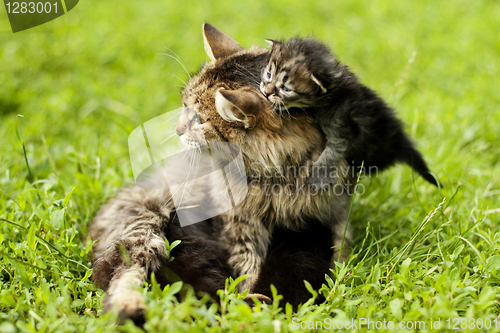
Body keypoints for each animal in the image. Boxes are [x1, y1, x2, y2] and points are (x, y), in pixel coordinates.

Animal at [87, 24, 352, 324]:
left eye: (199, 120)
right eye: (183, 105)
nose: (177, 130)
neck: (279, 177)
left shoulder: (335, 212)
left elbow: (340, 247)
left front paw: (338, 280)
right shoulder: (240, 223)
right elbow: (248, 264)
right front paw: (249, 296)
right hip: (145, 223)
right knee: (121, 272)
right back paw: (131, 306)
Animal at [260, 37, 440, 188]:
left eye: (285, 88)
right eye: (268, 74)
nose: (266, 92)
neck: (332, 93)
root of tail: (400, 138)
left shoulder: (343, 125)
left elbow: (333, 150)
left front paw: (319, 176)